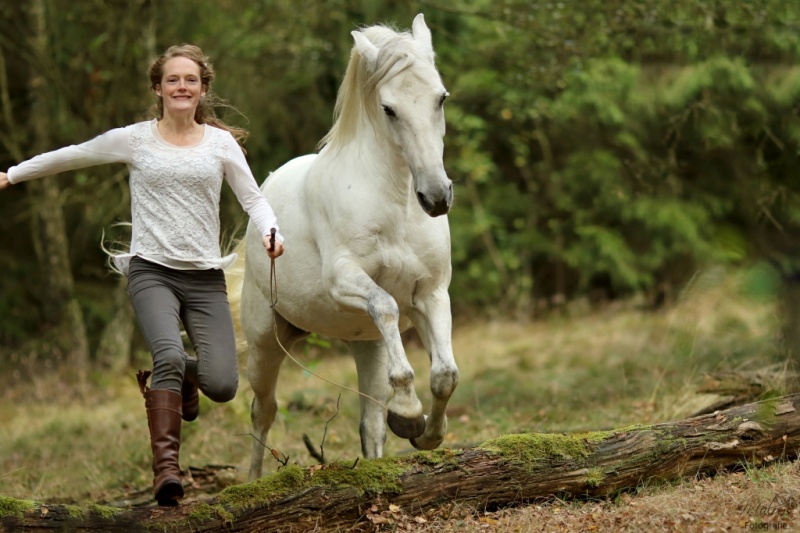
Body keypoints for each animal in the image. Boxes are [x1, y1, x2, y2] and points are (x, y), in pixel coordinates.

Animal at [233, 13, 456, 478]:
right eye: (389, 109)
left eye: (440, 98)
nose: (436, 197)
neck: (394, 203)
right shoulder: (344, 279)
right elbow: (385, 304)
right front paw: (410, 412)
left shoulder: (431, 294)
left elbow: (445, 374)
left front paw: (424, 431)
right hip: (265, 343)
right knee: (263, 411)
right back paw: (252, 482)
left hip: (368, 344)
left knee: (370, 422)